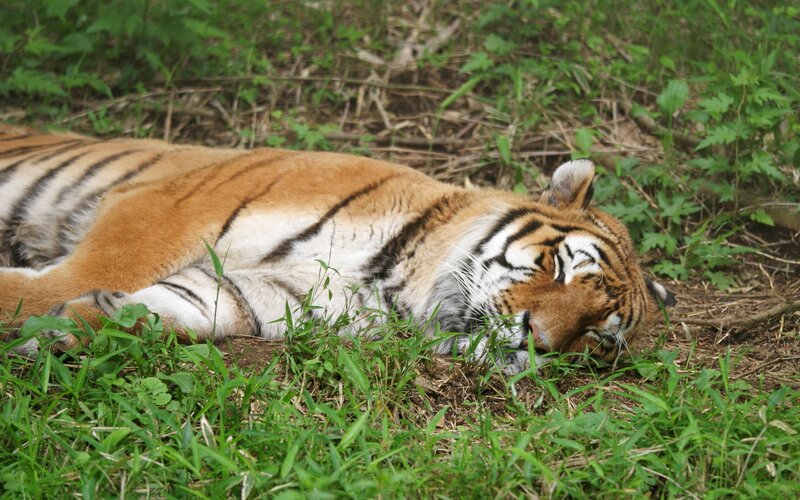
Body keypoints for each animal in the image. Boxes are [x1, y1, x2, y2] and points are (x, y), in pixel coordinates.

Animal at [0, 124, 675, 374]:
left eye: (596, 336)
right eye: (559, 267)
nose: (537, 341)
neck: (390, 278)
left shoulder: (246, 293)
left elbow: (156, 310)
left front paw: (61, 334)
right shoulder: (164, 207)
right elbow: (76, 276)